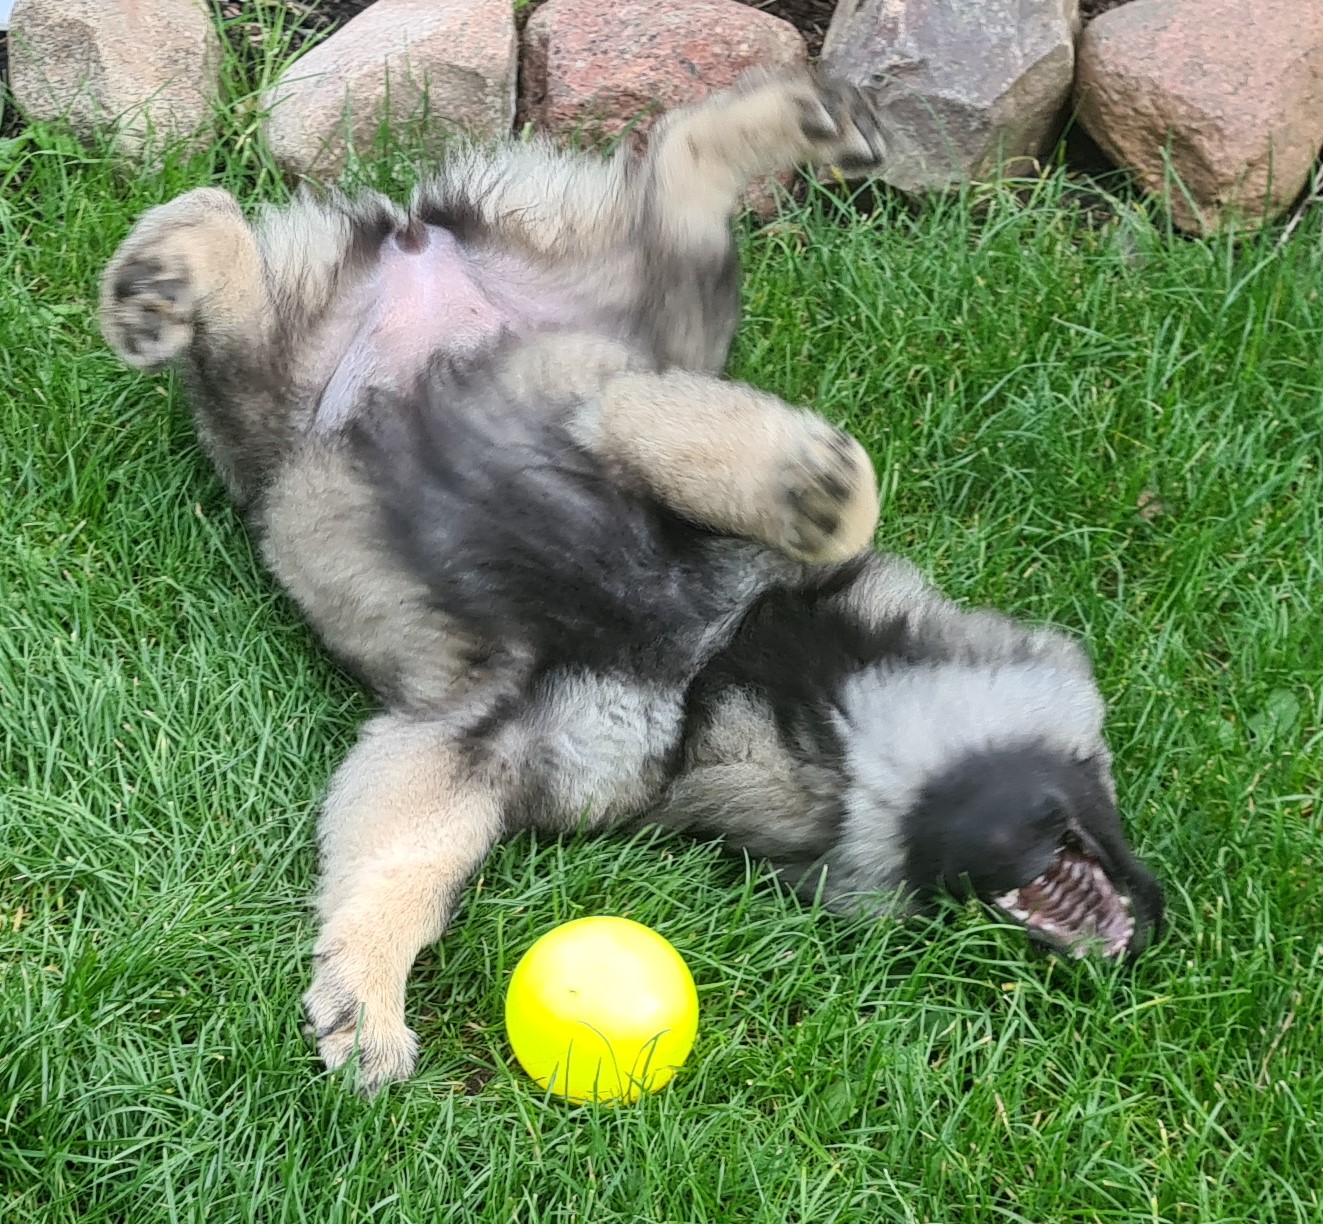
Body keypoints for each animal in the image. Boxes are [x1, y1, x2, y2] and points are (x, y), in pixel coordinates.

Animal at [97, 71, 1164, 1095]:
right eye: (1102, 772)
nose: (1149, 927)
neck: (728, 680)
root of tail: (420, 237)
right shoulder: (616, 454)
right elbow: (802, 488)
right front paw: (809, 483)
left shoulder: (470, 743)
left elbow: (398, 864)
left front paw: (359, 998)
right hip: (280, 403)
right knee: (224, 227)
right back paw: (160, 276)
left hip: (593, 310)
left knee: (674, 171)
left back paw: (796, 114)